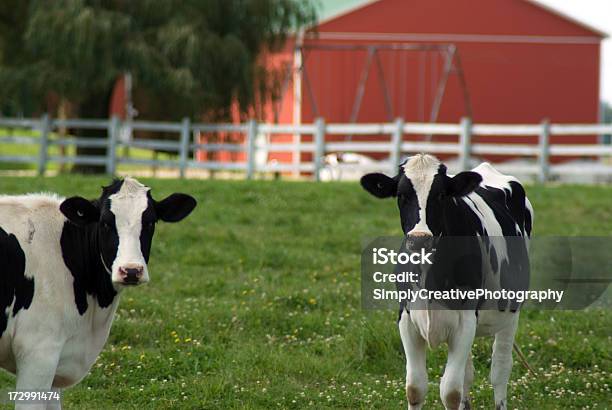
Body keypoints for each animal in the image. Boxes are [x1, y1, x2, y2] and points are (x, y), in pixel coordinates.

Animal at [360, 155, 532, 410]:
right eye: (401, 195)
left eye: (441, 195)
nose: (419, 240)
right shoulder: (407, 318)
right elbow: (415, 388)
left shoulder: (466, 320)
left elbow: (450, 391)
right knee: (467, 375)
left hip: (510, 312)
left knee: (500, 370)